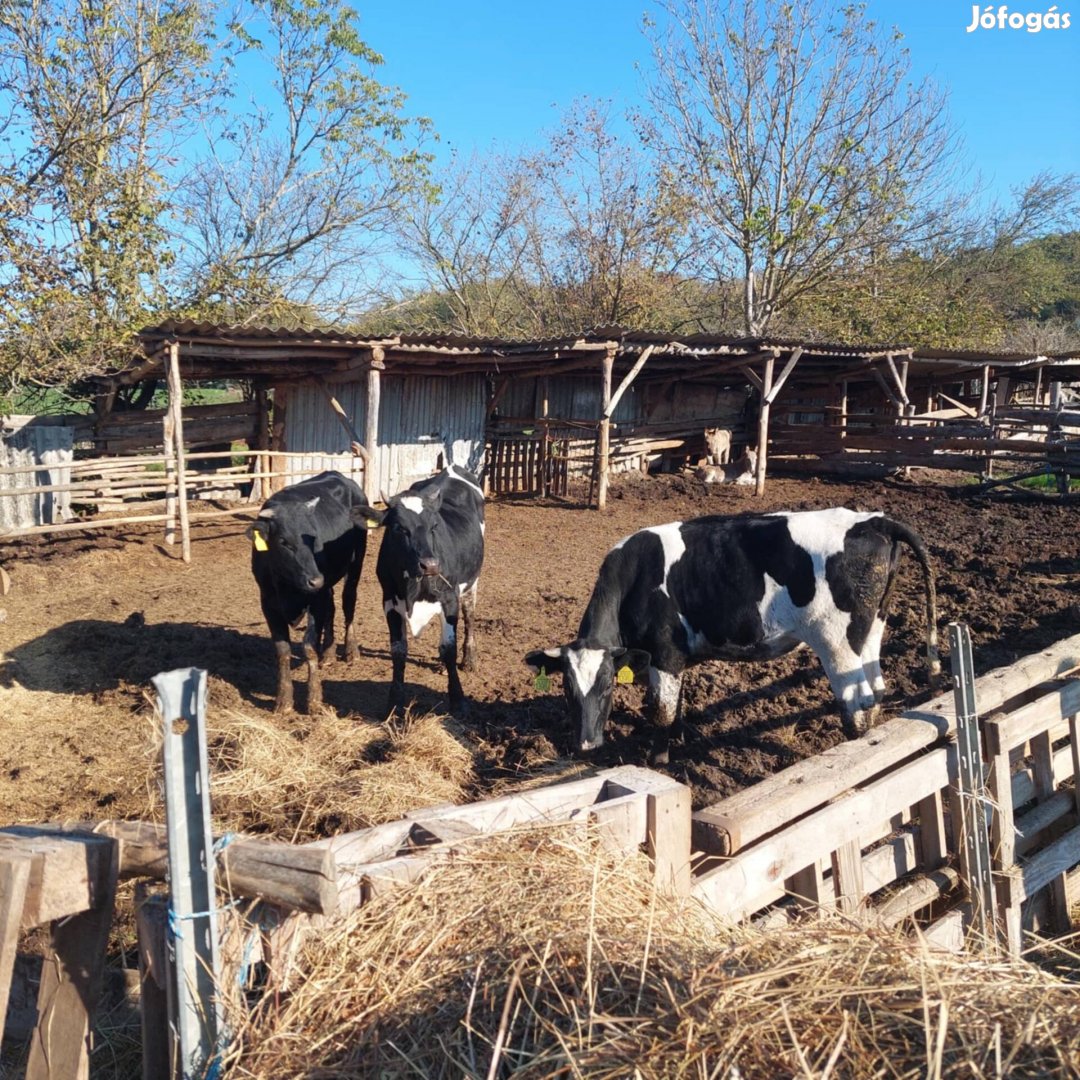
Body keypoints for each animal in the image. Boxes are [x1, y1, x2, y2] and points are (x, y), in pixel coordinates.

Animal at [249, 475, 375, 717]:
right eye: (284, 541)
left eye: (312, 538)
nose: (315, 580)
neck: (287, 584)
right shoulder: (268, 603)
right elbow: (282, 650)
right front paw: (283, 701)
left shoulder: (315, 601)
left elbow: (309, 647)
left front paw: (314, 701)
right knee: (332, 609)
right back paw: (329, 653)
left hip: (355, 564)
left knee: (348, 603)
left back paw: (351, 651)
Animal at [362, 464, 486, 717]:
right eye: (399, 528)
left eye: (434, 527)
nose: (430, 565)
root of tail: (451, 468)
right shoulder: (389, 602)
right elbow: (398, 650)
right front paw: (395, 702)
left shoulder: (450, 600)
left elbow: (449, 648)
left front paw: (458, 700)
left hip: (472, 582)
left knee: (469, 617)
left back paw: (469, 658)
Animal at [522, 509, 937, 764]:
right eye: (566, 688)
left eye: (608, 684)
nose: (586, 745)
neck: (635, 577)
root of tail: (873, 520)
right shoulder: (678, 658)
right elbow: (677, 705)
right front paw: (680, 741)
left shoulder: (664, 653)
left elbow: (660, 710)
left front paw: (658, 760)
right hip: (871, 629)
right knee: (877, 690)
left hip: (835, 640)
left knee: (855, 699)